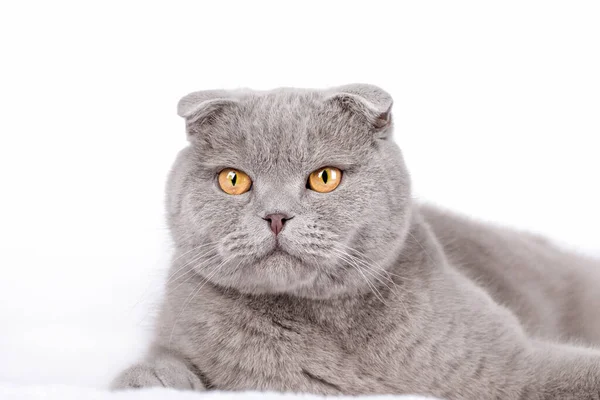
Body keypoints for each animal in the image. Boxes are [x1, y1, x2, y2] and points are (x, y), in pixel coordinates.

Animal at [112, 83, 600, 396]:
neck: (327, 326)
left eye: (324, 177)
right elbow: (151, 370)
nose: (276, 216)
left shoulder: (515, 365)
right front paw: (155, 380)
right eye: (234, 180)